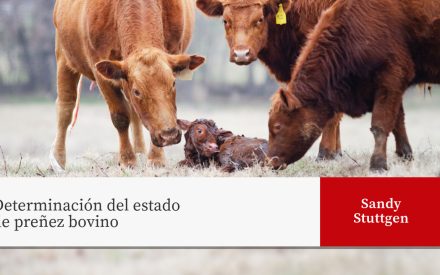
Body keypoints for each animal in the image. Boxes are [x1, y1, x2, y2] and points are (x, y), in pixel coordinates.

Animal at [50, 0, 205, 172]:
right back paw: (58, 160)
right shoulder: (101, 73)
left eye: (173, 83)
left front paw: (156, 159)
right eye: (137, 91)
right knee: (65, 109)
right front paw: (128, 159)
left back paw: (140, 152)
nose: (169, 135)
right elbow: (120, 117)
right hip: (63, 57)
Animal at [268, 0, 440, 171]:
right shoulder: (390, 88)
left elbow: (380, 125)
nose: (270, 162)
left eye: (277, 126)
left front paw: (377, 165)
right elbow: (398, 122)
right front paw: (405, 156)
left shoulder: (391, 79)